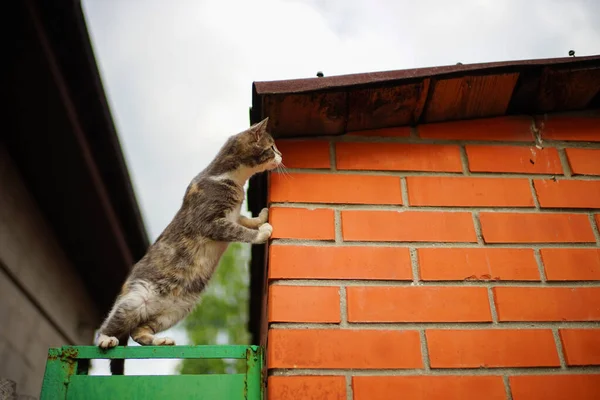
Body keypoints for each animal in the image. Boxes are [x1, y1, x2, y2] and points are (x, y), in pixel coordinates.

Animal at [94, 117, 282, 374]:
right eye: (271, 147)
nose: (281, 154)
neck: (229, 178)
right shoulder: (209, 222)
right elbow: (237, 230)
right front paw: (262, 232)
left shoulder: (232, 215)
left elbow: (243, 219)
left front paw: (260, 217)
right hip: (135, 299)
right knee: (109, 326)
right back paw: (105, 339)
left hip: (173, 312)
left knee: (138, 332)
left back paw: (160, 340)